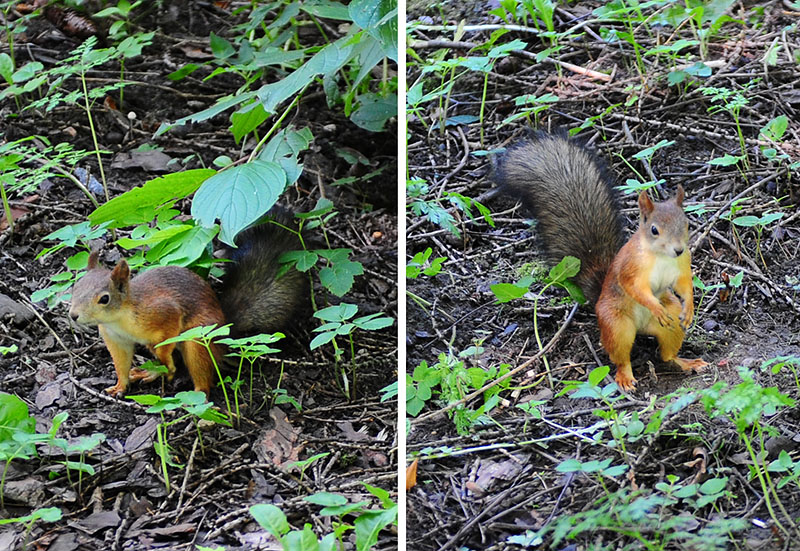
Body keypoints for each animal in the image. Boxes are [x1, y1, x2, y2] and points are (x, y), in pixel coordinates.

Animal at [68, 210, 306, 396]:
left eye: (104, 299)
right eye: (75, 288)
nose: (73, 315)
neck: (119, 319)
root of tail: (225, 331)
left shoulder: (161, 312)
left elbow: (168, 334)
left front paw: (164, 358)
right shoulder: (116, 340)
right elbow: (122, 363)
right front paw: (120, 385)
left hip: (198, 340)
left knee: (201, 376)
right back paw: (151, 372)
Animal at [494, 132, 708, 390]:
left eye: (686, 224)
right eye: (654, 230)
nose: (677, 249)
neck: (662, 257)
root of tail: (641, 328)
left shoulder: (682, 265)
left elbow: (684, 286)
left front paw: (690, 309)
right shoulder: (631, 267)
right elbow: (634, 287)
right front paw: (655, 306)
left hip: (671, 325)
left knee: (667, 354)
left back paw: (686, 361)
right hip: (616, 325)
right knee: (621, 357)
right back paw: (625, 376)